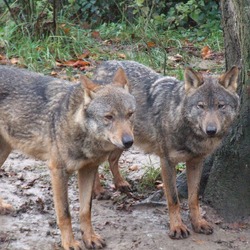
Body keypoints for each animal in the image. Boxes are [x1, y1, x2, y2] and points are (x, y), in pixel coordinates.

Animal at [0, 65, 136, 249]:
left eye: (130, 114)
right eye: (109, 117)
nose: (129, 142)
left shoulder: (88, 169)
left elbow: (85, 211)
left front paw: (89, 237)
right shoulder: (58, 172)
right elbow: (65, 213)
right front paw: (69, 242)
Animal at [93, 60, 240, 238]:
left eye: (221, 106)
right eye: (201, 106)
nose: (211, 130)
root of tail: (104, 63)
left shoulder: (196, 162)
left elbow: (193, 198)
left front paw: (198, 223)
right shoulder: (167, 162)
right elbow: (174, 199)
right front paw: (177, 227)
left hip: (125, 141)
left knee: (112, 160)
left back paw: (121, 183)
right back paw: (98, 191)